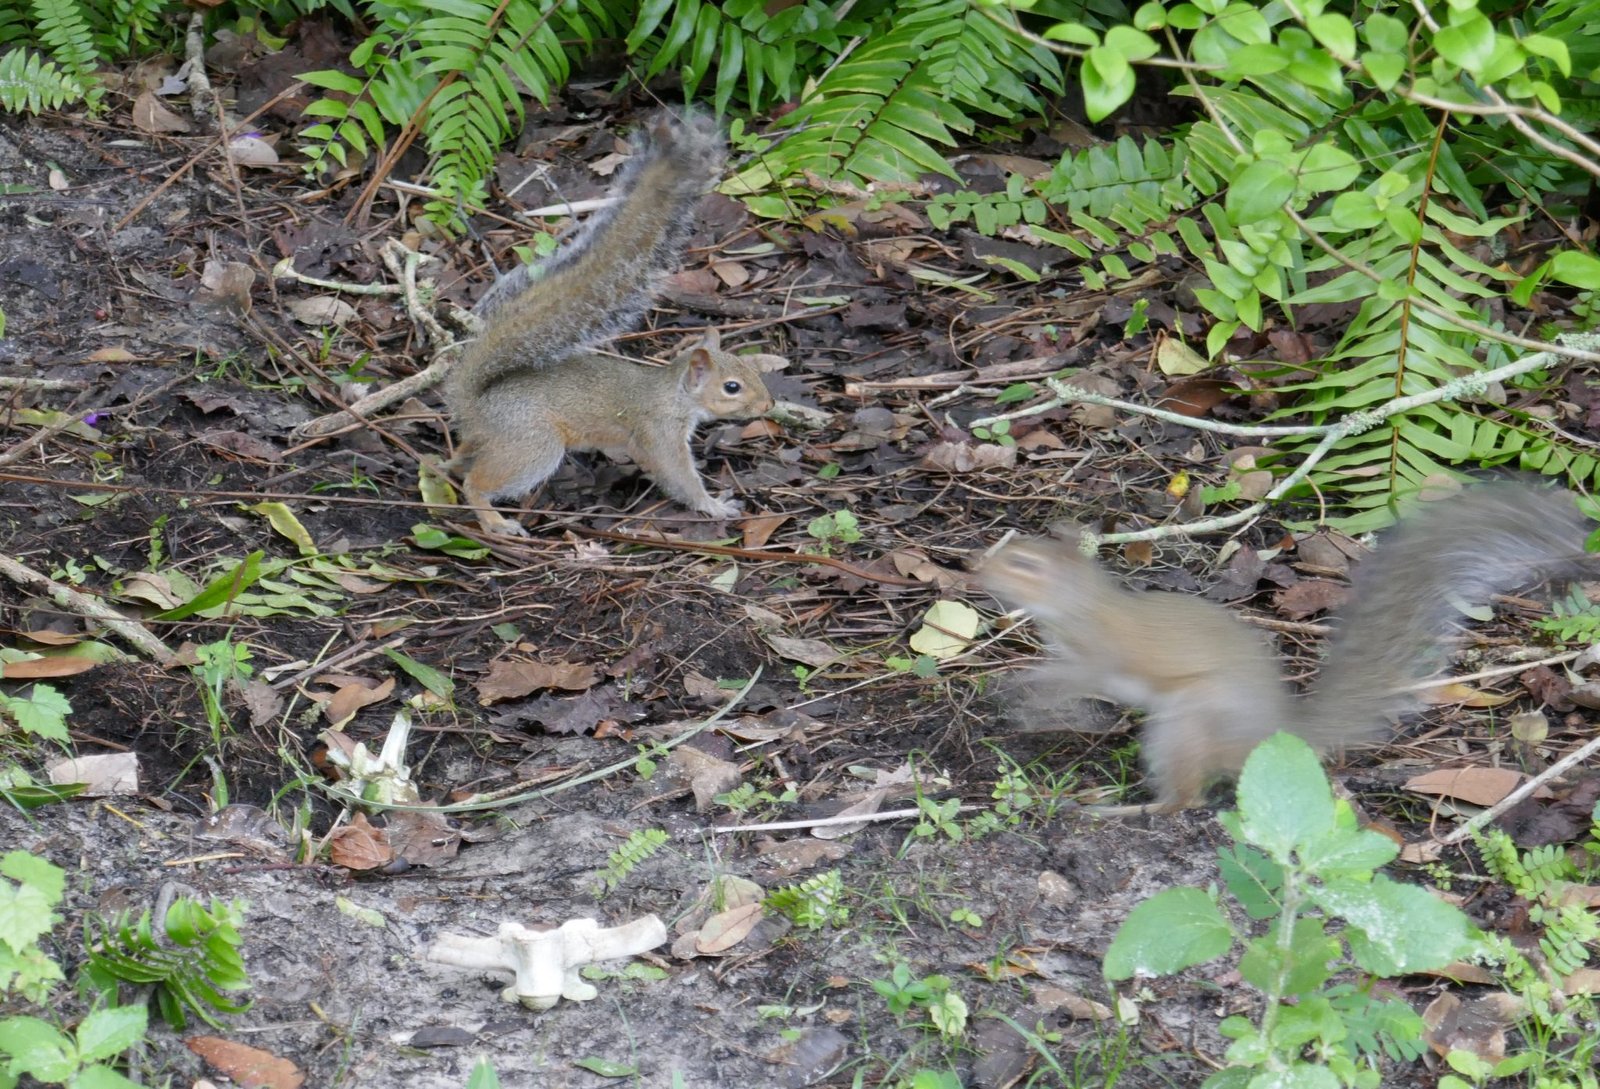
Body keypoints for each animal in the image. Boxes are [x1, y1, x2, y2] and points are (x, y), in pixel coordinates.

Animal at [443, 111, 782, 536]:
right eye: (732, 387)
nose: (768, 403)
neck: (670, 393)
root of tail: (475, 405)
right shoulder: (658, 434)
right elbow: (677, 476)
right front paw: (714, 506)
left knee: (460, 460)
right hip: (532, 445)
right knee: (476, 481)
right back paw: (494, 521)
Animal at [978, 482, 1597, 811]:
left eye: (1025, 566)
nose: (974, 568)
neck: (1079, 604)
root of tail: (1276, 736)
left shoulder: (1099, 654)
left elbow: (1073, 677)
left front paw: (1024, 689)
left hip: (1188, 723)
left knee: (1187, 798)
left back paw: (1126, 810)